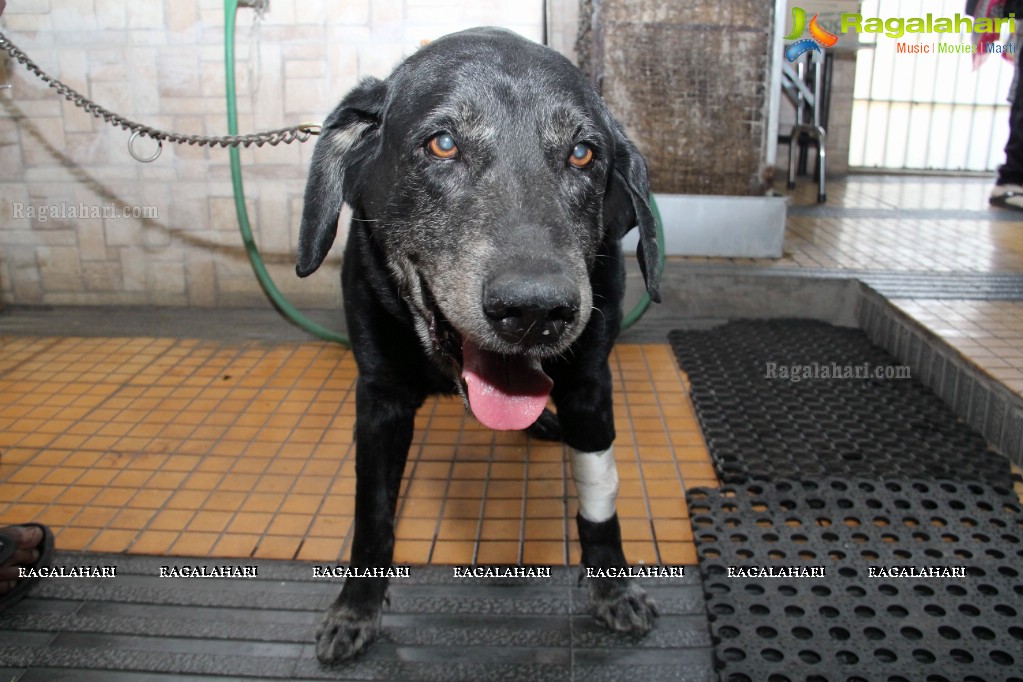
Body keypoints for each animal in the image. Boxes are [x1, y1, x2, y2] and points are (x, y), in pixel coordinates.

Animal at [298, 27, 658, 666]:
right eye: (442, 144)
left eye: (583, 153)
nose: (535, 312)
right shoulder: (380, 399)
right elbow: (373, 513)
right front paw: (356, 608)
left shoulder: (591, 386)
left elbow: (600, 504)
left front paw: (613, 586)